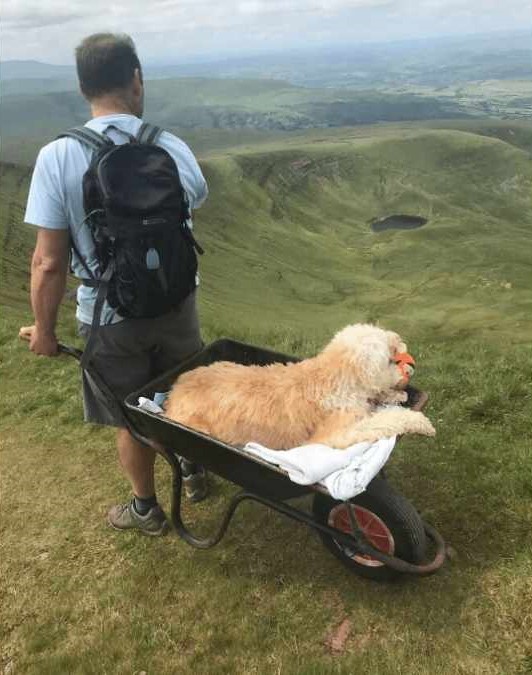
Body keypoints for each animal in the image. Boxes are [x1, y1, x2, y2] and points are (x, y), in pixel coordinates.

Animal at [164, 326, 434, 452]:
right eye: (390, 358)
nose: (410, 366)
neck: (334, 378)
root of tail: (173, 391)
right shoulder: (334, 435)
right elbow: (385, 419)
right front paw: (421, 422)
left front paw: (397, 394)